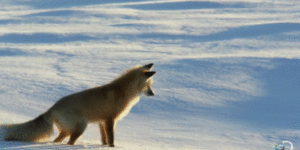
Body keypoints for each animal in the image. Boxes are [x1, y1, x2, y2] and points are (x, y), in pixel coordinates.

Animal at [1, 63, 157, 146]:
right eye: (148, 85)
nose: (153, 94)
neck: (123, 92)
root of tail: (53, 107)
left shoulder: (101, 121)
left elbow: (104, 138)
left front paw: (104, 146)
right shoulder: (109, 119)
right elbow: (111, 137)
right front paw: (112, 147)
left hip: (67, 130)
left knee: (57, 140)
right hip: (81, 127)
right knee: (69, 142)